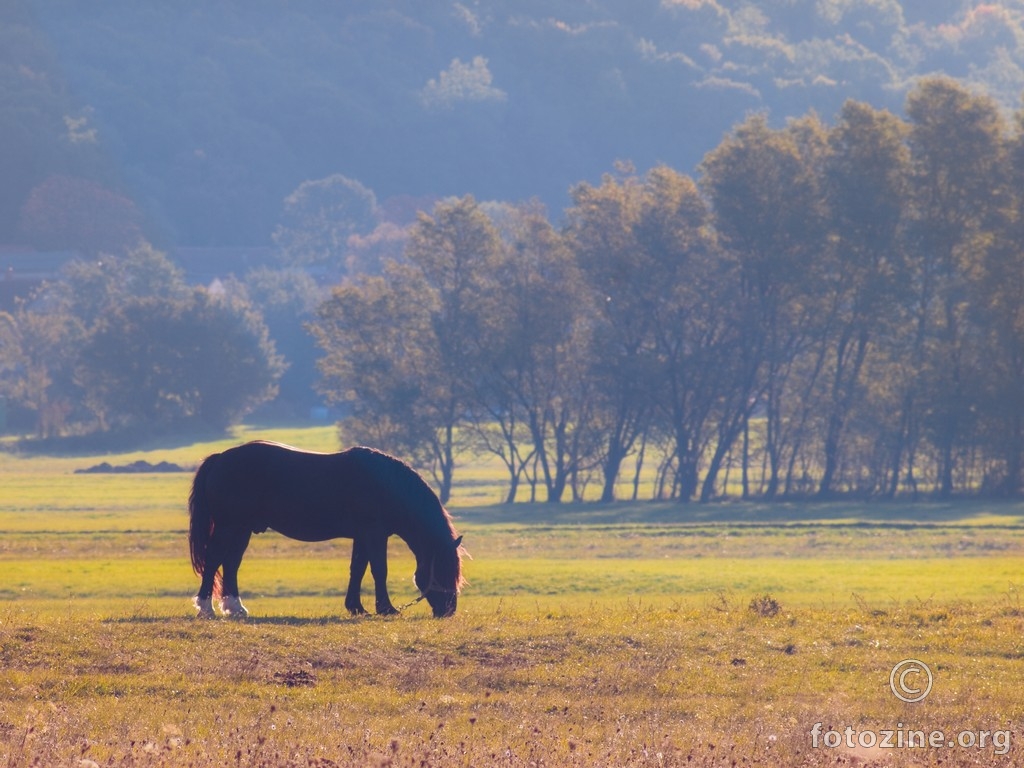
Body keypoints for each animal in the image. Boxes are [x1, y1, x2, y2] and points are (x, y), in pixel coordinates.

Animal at [188, 438, 468, 618]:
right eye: (443, 569)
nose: (448, 611)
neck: (386, 485)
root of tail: (220, 458)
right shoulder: (375, 534)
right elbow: (379, 570)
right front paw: (386, 608)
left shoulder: (363, 536)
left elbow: (358, 569)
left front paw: (357, 608)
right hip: (229, 527)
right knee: (214, 560)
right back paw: (206, 609)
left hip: (241, 529)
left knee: (231, 563)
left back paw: (235, 608)